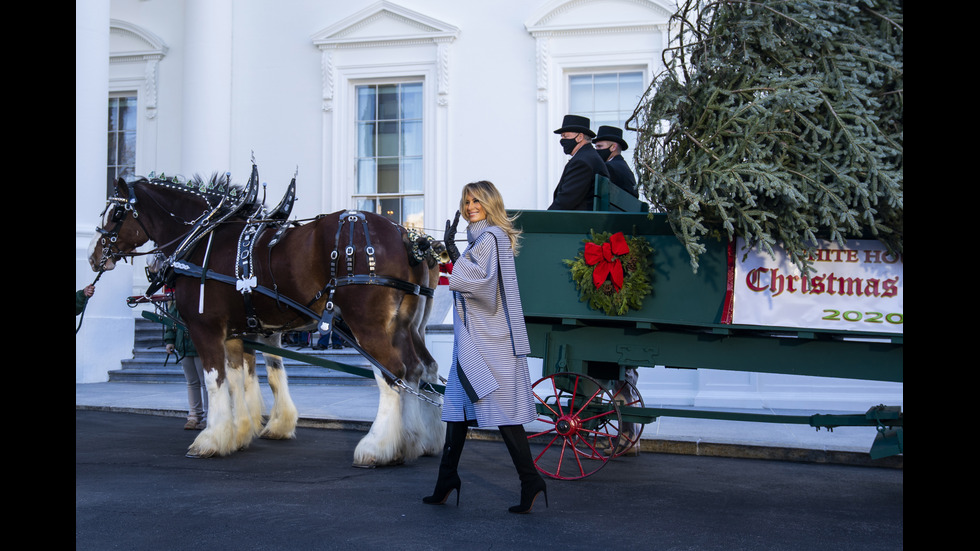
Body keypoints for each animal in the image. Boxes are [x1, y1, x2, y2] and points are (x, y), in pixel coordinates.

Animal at [92, 174, 444, 466]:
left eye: (116, 214)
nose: (95, 256)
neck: (202, 237)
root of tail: (407, 236)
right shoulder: (240, 332)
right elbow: (246, 378)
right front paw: (241, 432)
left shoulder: (206, 328)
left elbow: (215, 380)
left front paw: (210, 439)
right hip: (407, 326)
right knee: (421, 370)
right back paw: (419, 440)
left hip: (367, 324)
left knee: (392, 374)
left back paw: (377, 447)